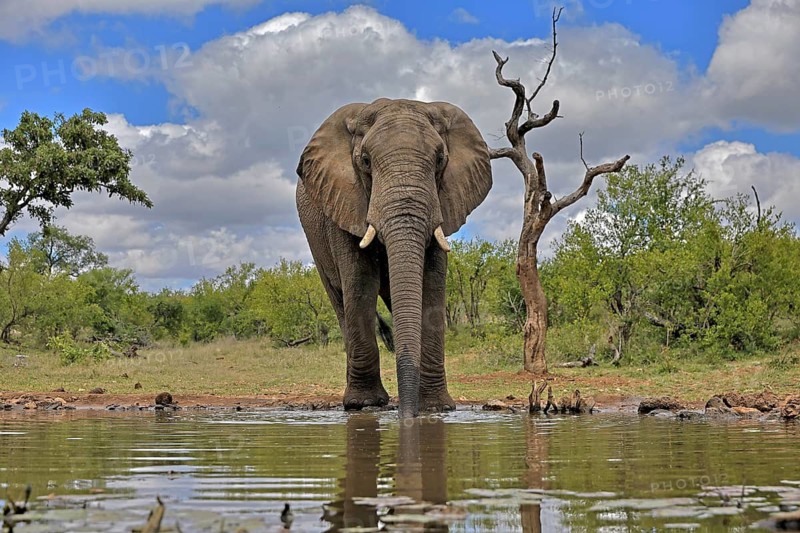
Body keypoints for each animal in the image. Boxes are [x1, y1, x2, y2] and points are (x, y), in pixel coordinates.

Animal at [296, 98, 492, 417]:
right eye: (365, 161)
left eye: (440, 160)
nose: (407, 415)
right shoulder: (343, 203)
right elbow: (360, 284)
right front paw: (363, 404)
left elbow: (432, 287)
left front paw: (436, 407)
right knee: (341, 301)